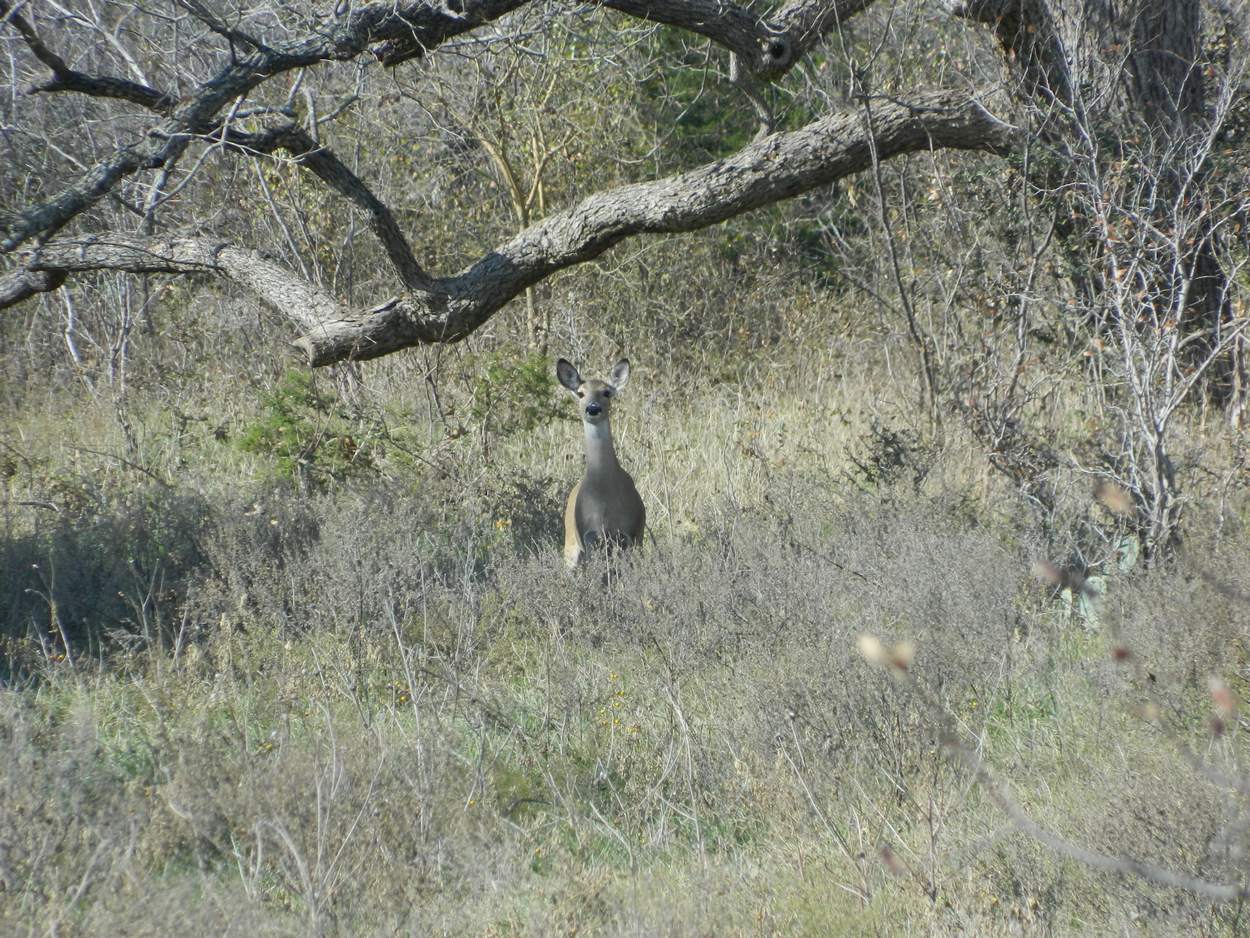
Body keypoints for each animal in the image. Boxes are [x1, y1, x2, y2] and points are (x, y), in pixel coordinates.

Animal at [562, 357, 650, 565]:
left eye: (607, 392)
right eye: (580, 393)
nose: (593, 408)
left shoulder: (629, 533)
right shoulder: (590, 536)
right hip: (570, 545)